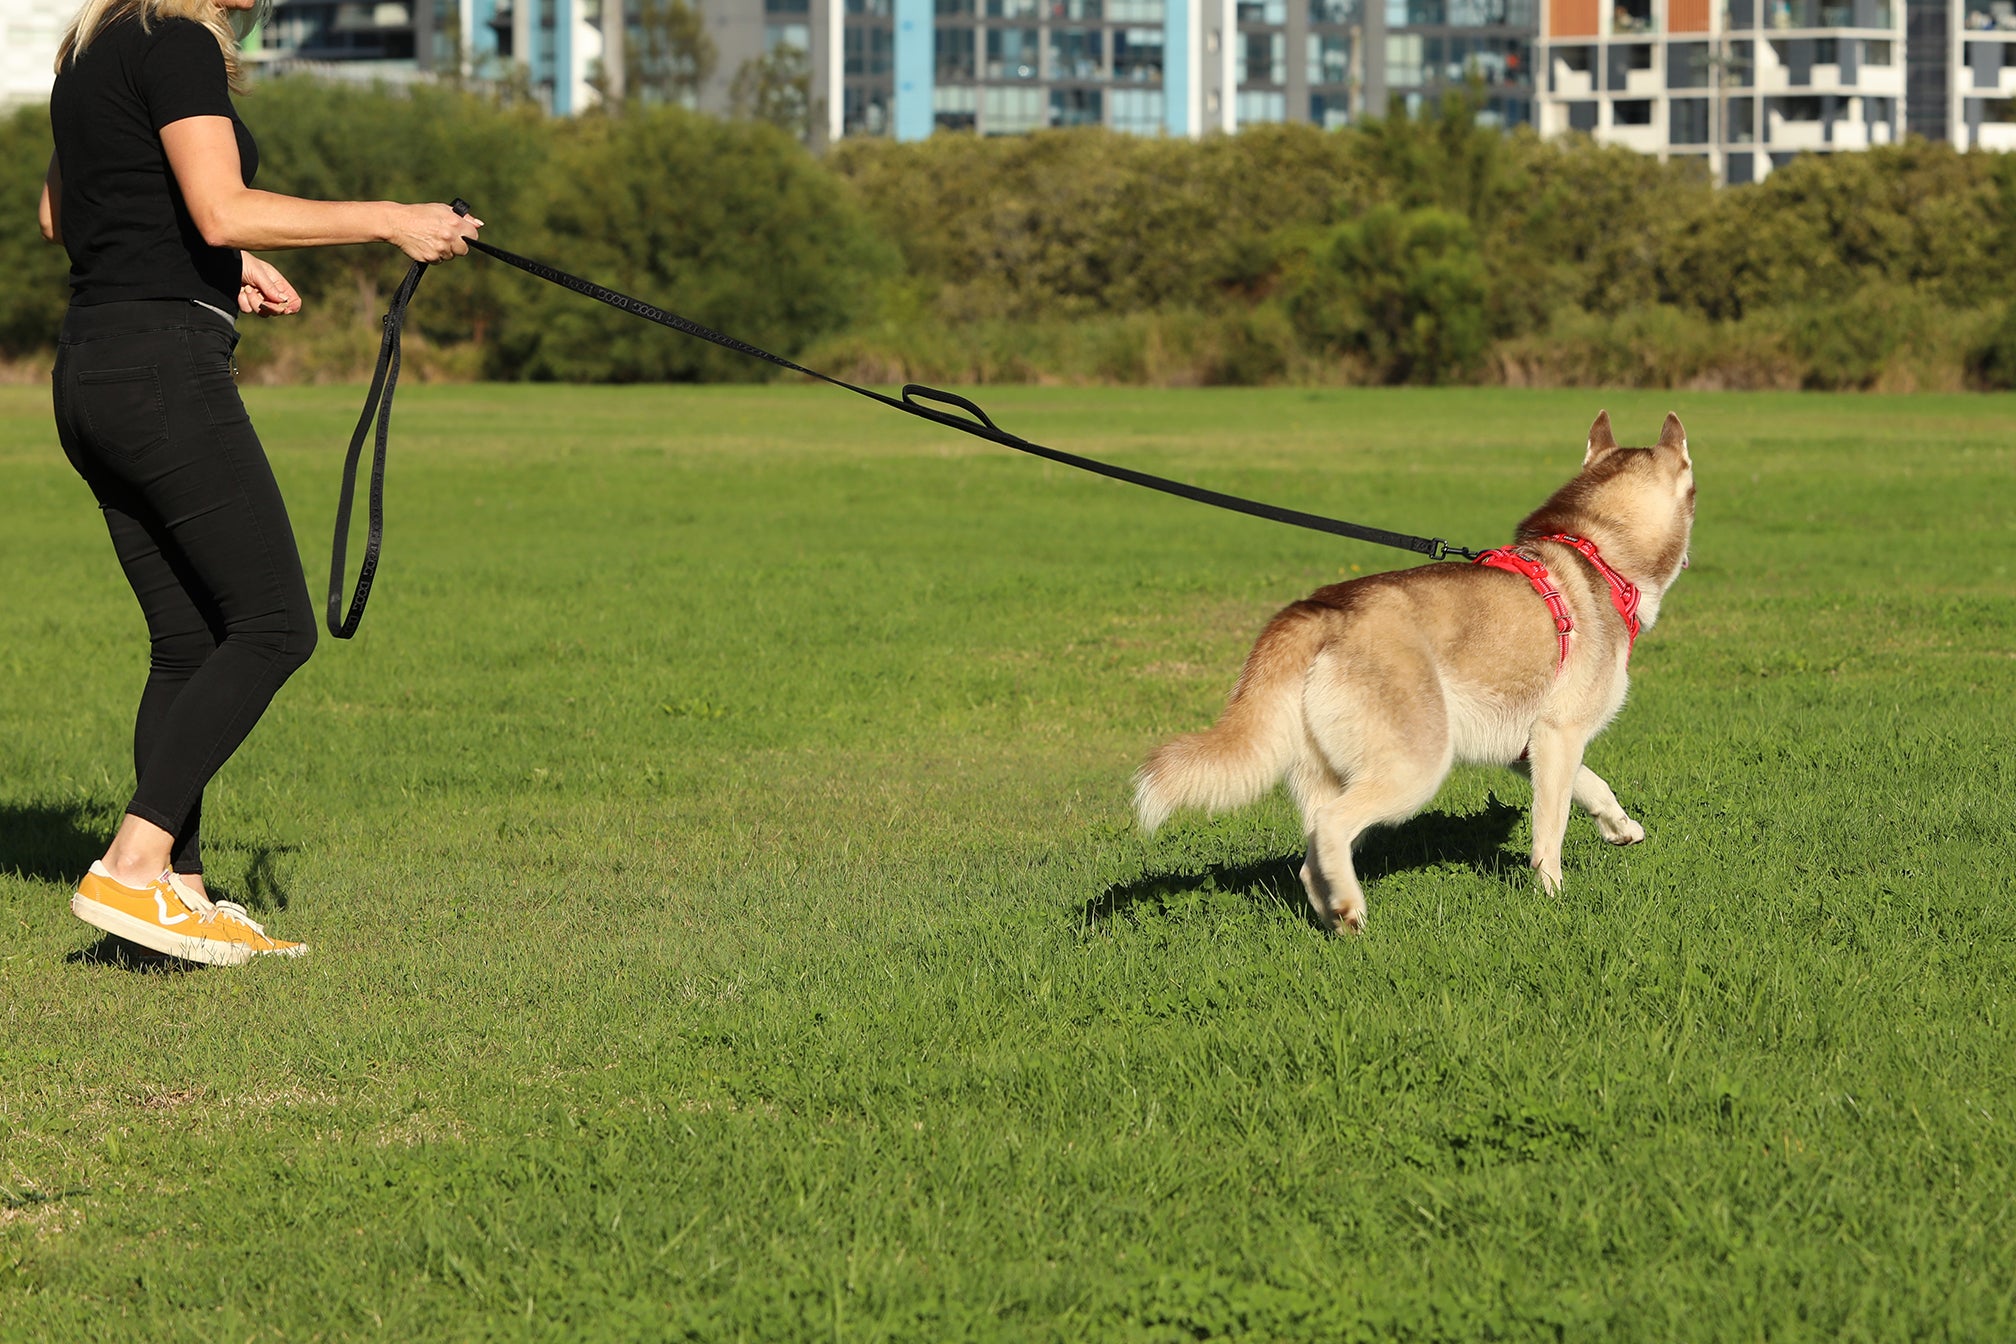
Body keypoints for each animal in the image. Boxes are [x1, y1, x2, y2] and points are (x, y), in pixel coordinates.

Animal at [1145, 413, 1693, 934]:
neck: (1596, 552)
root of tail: (1324, 609)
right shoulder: (1560, 734)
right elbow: (1550, 829)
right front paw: (1553, 894)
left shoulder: (1529, 745)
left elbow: (1594, 786)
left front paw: (1622, 828)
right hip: (1417, 766)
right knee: (1331, 825)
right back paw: (1350, 909)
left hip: (1330, 769)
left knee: (1311, 858)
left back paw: (1336, 916)